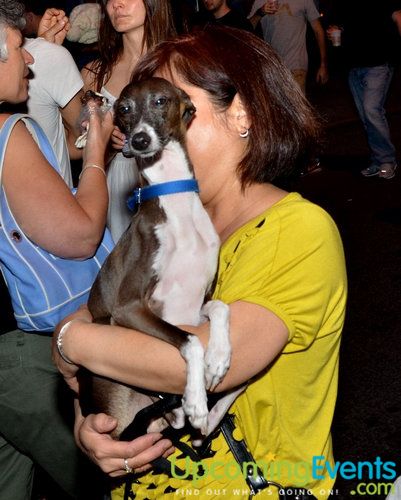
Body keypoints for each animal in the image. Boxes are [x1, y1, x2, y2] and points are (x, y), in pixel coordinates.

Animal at [80, 76, 241, 440]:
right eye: (124, 109)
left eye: (160, 101)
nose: (139, 140)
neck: (174, 199)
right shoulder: (129, 308)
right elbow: (191, 341)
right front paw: (196, 397)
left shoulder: (198, 301)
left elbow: (220, 308)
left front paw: (219, 358)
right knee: (184, 418)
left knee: (190, 423)